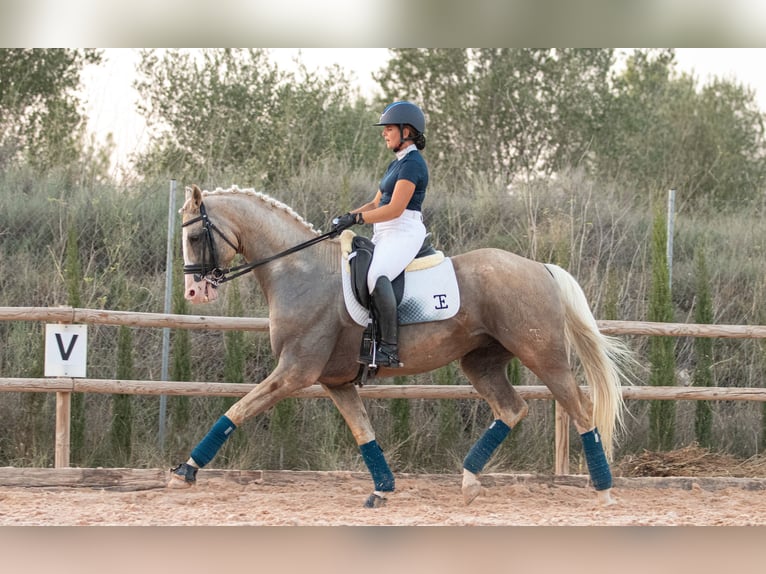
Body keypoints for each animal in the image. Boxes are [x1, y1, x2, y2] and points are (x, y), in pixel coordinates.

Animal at [171, 184, 632, 508]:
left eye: (194, 237)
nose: (193, 292)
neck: (299, 270)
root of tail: (541, 268)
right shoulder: (335, 381)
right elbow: (364, 433)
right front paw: (383, 490)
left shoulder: (295, 371)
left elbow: (237, 409)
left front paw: (184, 471)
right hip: (481, 362)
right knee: (511, 409)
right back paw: (469, 482)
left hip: (543, 355)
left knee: (581, 409)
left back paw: (603, 491)